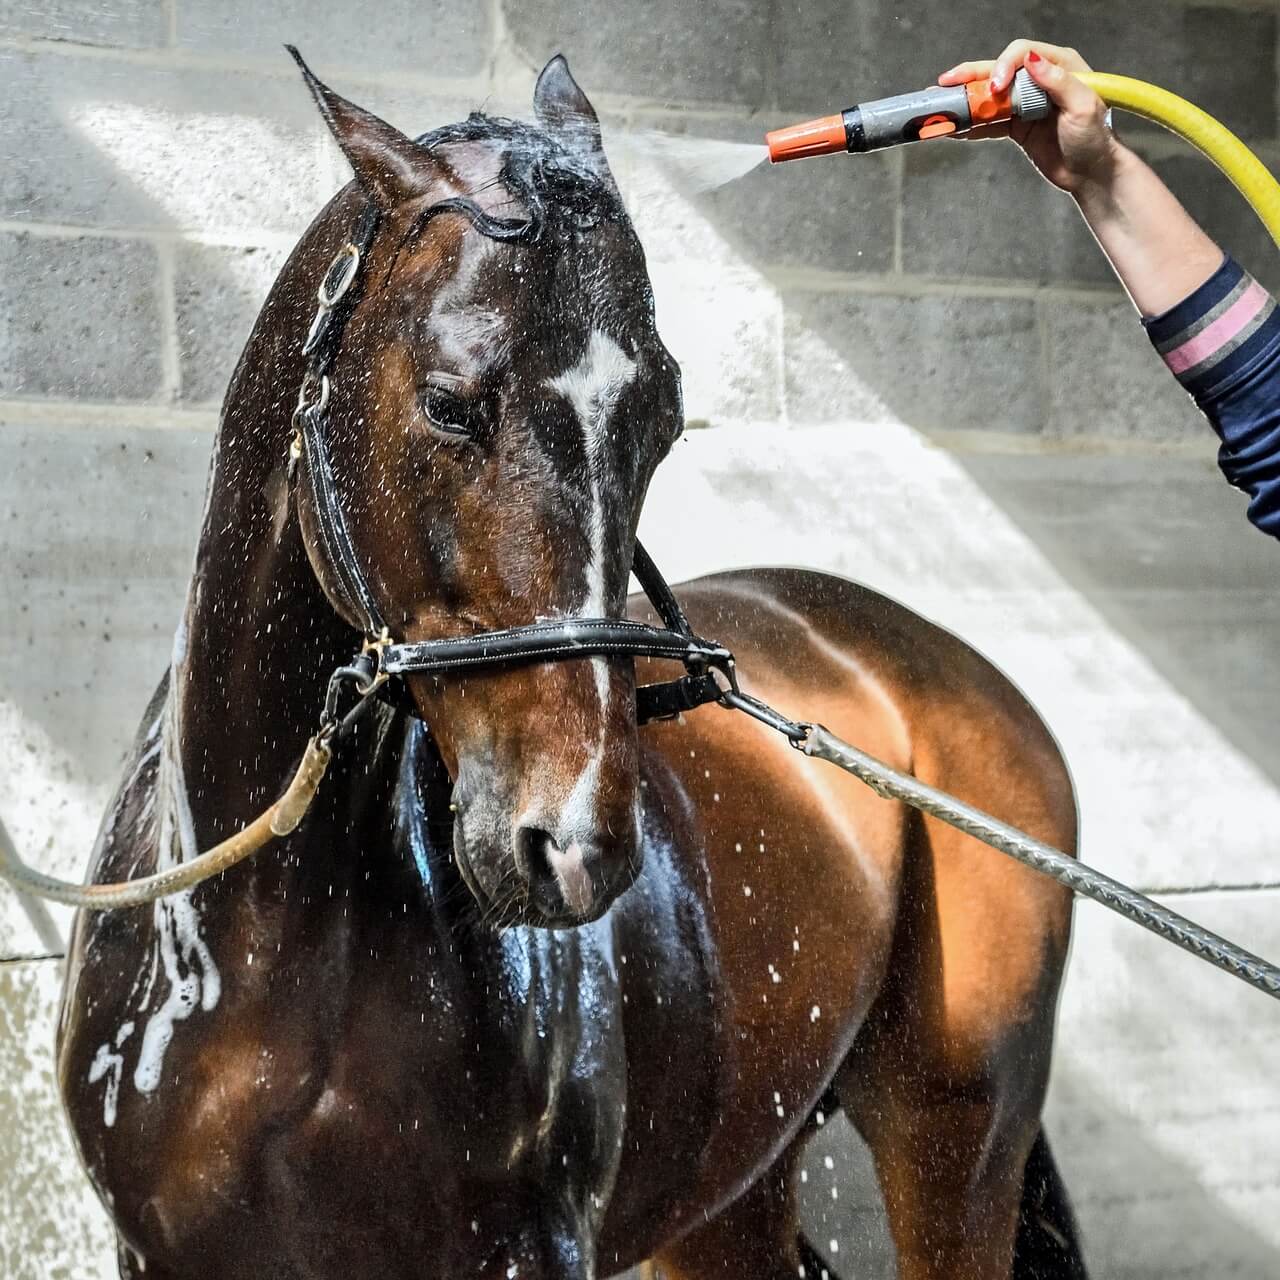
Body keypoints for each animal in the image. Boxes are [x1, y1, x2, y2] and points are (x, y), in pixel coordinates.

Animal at [55, 49, 1085, 1280]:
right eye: (449, 403)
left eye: (663, 421)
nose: (577, 845)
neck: (252, 952)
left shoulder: (529, 1246)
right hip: (733, 1192)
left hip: (953, 1139)